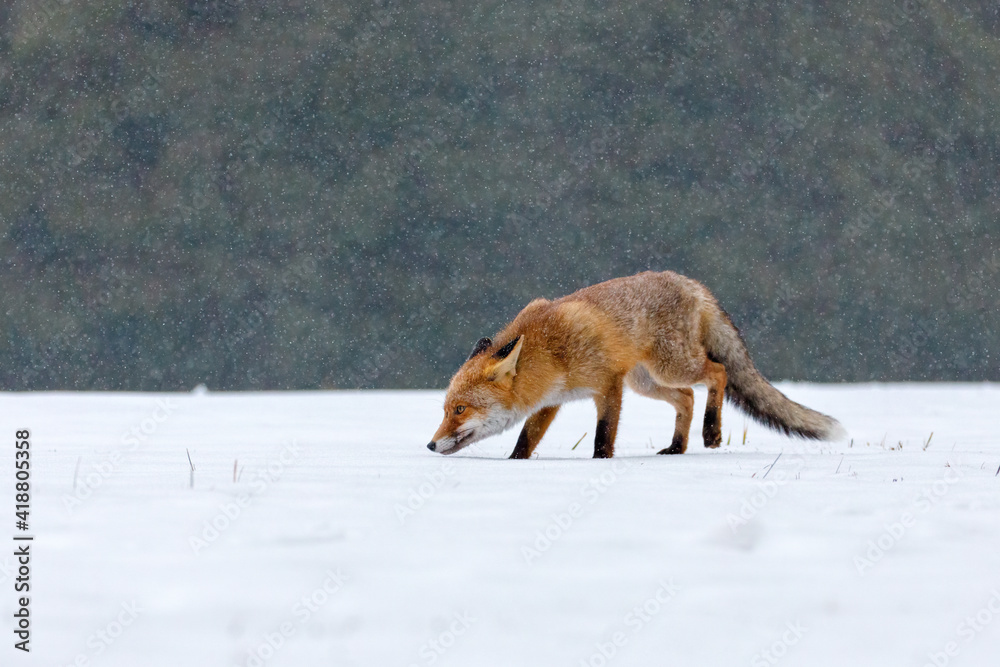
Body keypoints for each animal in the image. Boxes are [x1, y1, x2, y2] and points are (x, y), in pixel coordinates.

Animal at [426, 271, 844, 458]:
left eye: (460, 410)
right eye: (445, 409)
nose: (430, 445)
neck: (549, 350)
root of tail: (692, 284)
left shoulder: (608, 384)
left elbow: (603, 436)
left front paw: (601, 463)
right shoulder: (551, 401)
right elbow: (526, 440)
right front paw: (514, 463)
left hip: (670, 366)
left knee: (718, 373)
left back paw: (711, 432)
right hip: (647, 382)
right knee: (687, 398)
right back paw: (677, 447)